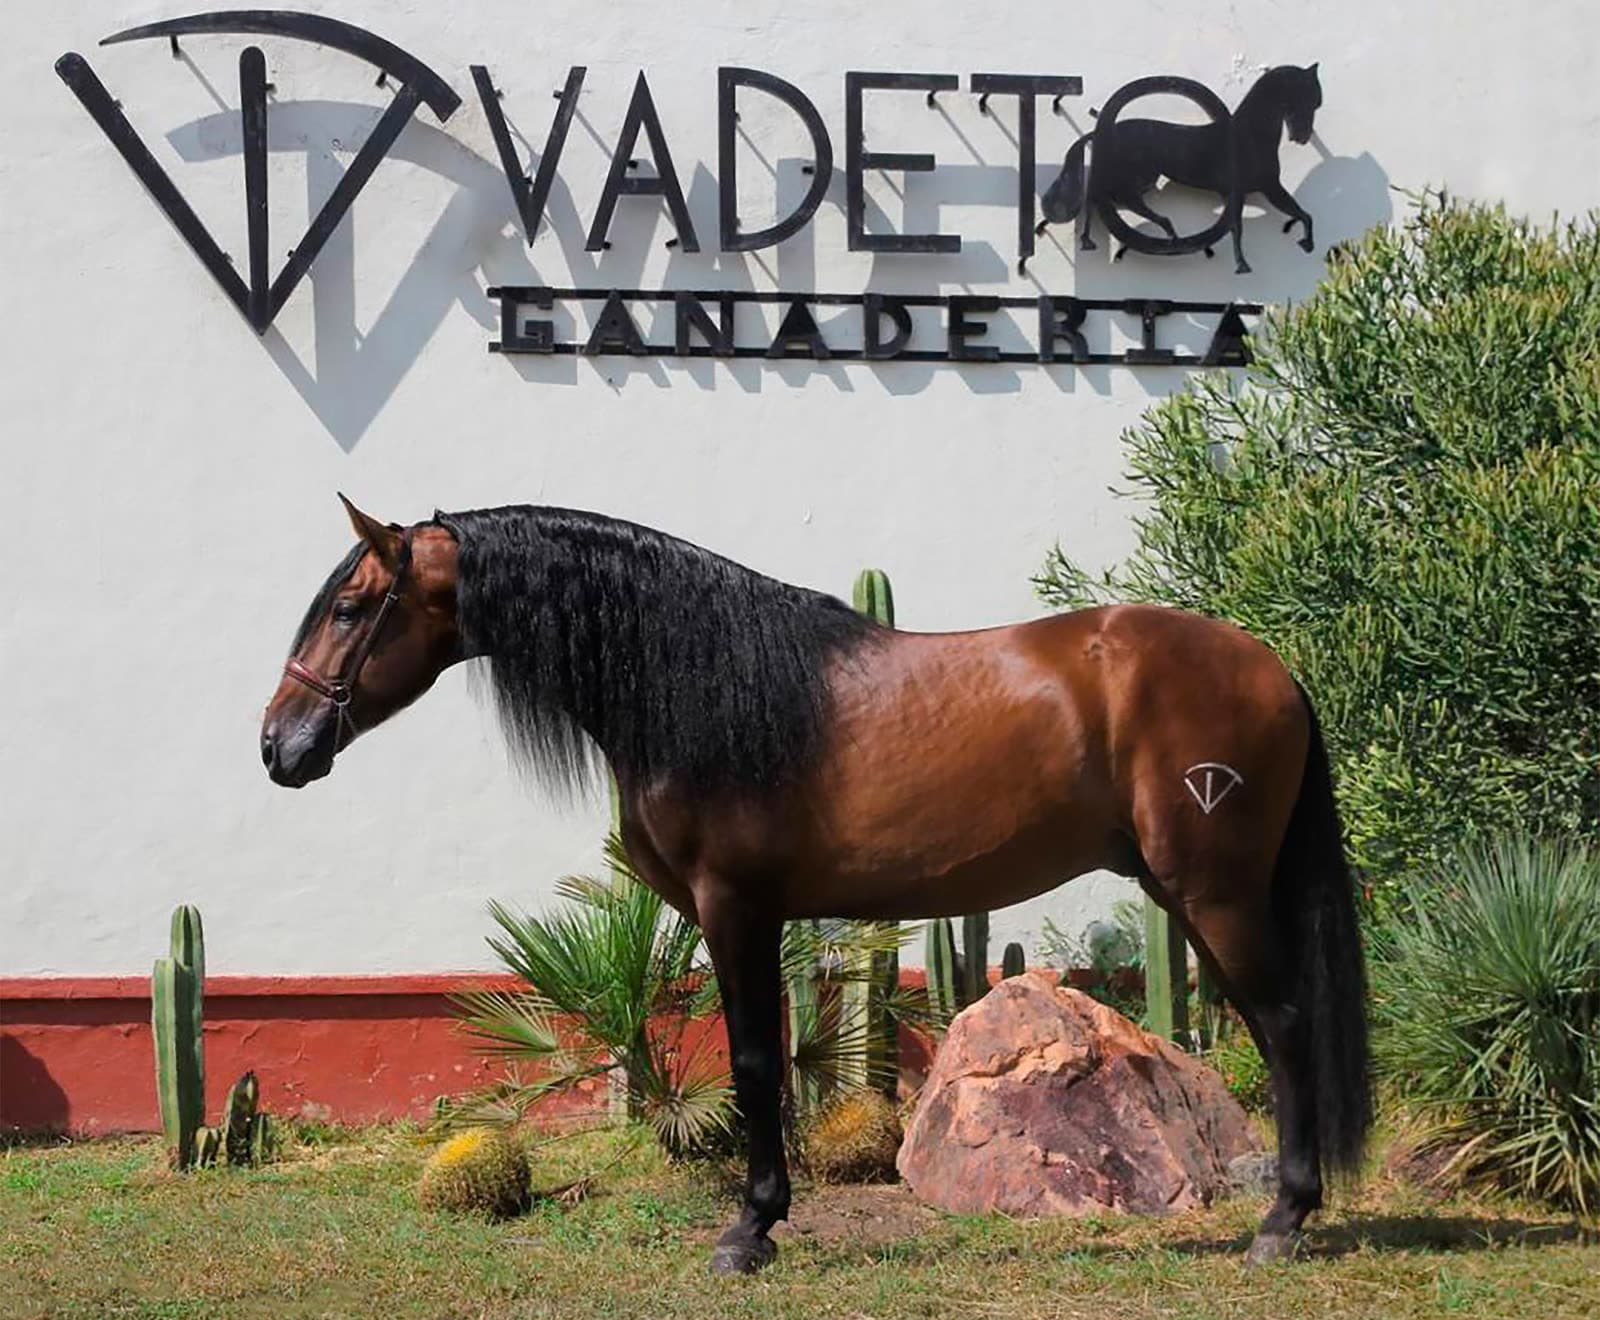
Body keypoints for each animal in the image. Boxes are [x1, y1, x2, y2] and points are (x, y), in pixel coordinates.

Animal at [262, 496, 1370, 1273]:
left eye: (351, 608)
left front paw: (749, 1230)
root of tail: (1273, 668)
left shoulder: (735, 909)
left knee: (1283, 1026)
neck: (703, 688)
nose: (279, 746)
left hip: (1214, 893)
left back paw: (1283, 1220)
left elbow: (756, 1066)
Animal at [1039, 64, 1322, 274]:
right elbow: (1244, 224)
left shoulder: (1257, 189)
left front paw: (1302, 240)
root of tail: (1099, 133)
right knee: (1109, 198)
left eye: (1316, 102)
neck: (1250, 135)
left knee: (1109, 198)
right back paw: (1161, 230)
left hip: (1140, 177)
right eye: (1306, 97)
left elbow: (1295, 213)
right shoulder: (1259, 187)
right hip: (1134, 175)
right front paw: (1245, 263)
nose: (1303, 136)